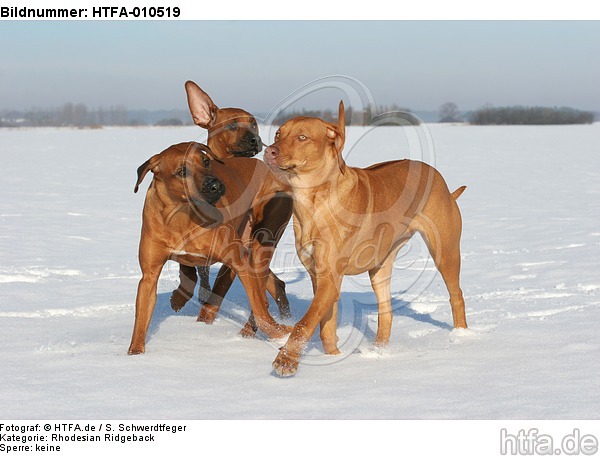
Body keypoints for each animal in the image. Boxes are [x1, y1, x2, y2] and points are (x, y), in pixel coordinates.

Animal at [129, 142, 292, 356]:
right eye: (182, 171)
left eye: (206, 161)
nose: (216, 185)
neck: (181, 215)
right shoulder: (150, 274)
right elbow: (142, 316)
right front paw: (135, 353)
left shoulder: (237, 261)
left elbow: (258, 307)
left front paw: (281, 334)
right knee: (274, 283)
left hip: (263, 237)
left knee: (258, 293)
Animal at [171, 79, 292, 328]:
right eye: (232, 125)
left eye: (253, 124)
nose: (256, 140)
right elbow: (190, 272)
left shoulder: (233, 252)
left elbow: (217, 292)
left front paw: (203, 324)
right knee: (276, 284)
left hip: (263, 239)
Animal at [264, 101, 468, 376]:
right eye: (278, 134)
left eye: (302, 137)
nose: (269, 150)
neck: (313, 198)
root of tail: (439, 178)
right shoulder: (319, 277)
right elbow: (325, 327)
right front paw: (334, 356)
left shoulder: (329, 277)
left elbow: (304, 323)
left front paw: (287, 359)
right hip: (380, 267)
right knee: (386, 313)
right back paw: (378, 352)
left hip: (445, 252)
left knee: (456, 295)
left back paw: (461, 338)